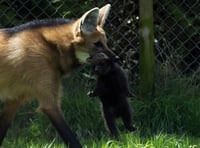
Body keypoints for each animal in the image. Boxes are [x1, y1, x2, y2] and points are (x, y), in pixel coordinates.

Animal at [0, 3, 113, 148]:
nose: (116, 59)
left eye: (105, 43)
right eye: (97, 44)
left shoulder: (14, 100)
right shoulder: (50, 104)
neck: (52, 47)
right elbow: (70, 137)